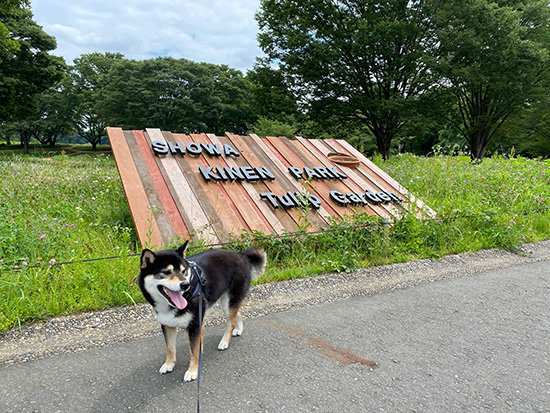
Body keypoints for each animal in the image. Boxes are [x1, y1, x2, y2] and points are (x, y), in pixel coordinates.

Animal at [138, 240, 268, 382]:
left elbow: (193, 352)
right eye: (166, 272)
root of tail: (242, 255)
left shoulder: (195, 324)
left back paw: (224, 341)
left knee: (231, 320)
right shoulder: (168, 324)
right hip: (227, 300)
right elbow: (170, 348)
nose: (185, 285)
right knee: (237, 313)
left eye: (184, 271)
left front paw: (192, 371)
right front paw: (168, 364)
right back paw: (238, 329)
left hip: (228, 301)